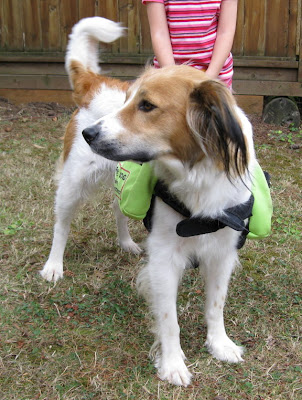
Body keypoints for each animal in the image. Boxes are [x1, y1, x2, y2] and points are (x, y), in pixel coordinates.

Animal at [40, 17, 258, 386]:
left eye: (146, 106)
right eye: (128, 101)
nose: (90, 134)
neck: (196, 175)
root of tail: (96, 83)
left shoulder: (222, 251)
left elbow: (216, 305)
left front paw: (219, 344)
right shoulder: (164, 259)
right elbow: (169, 320)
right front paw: (172, 364)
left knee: (118, 208)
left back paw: (126, 242)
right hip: (72, 185)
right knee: (62, 224)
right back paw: (54, 266)